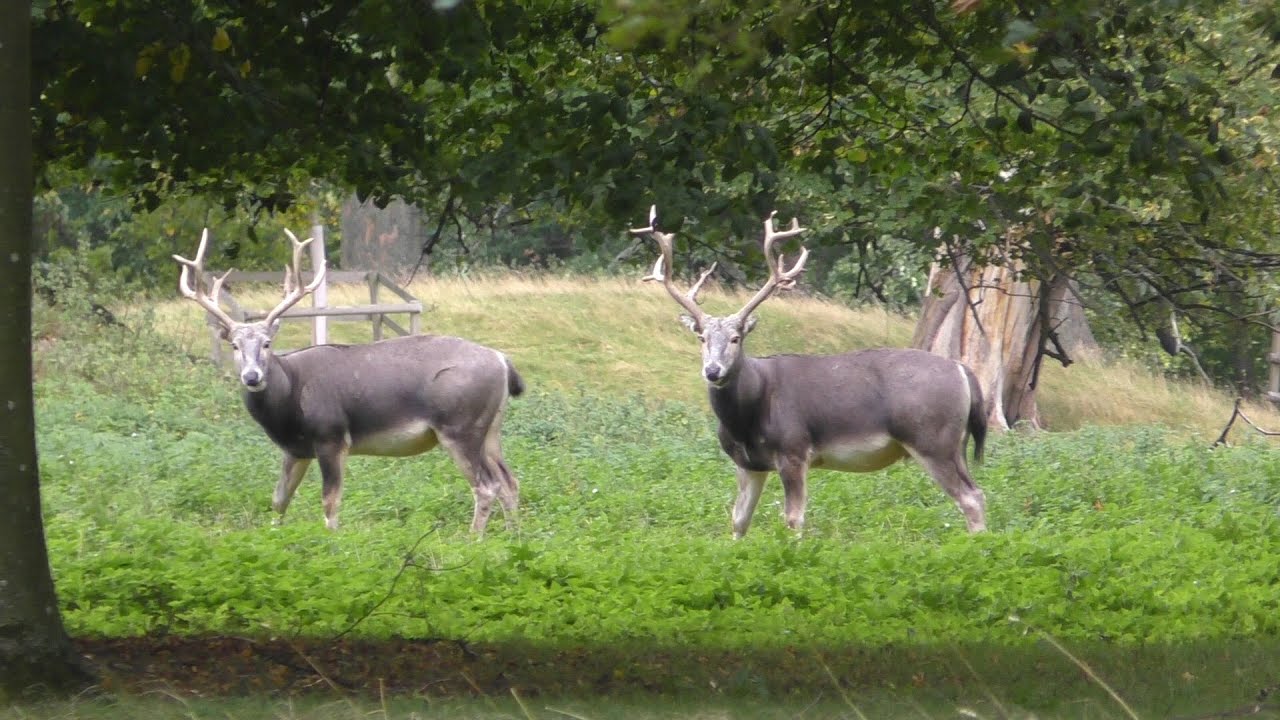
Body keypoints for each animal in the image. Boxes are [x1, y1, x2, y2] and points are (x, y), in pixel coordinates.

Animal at [173, 229, 523, 533]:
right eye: (235, 346)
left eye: (267, 344)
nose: (251, 376)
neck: (290, 401)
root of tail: (502, 361)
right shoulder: (295, 449)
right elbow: (279, 501)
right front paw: (275, 538)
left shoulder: (331, 436)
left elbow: (330, 503)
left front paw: (333, 545)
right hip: (490, 428)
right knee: (510, 482)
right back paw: (513, 537)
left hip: (459, 426)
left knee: (486, 486)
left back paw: (474, 540)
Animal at [632, 206, 988, 538]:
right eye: (702, 338)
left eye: (736, 337)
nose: (712, 370)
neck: (747, 418)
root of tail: (963, 371)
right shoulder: (747, 462)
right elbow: (738, 520)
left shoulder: (794, 448)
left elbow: (793, 519)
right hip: (955, 443)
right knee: (977, 491)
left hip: (932, 438)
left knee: (971, 497)